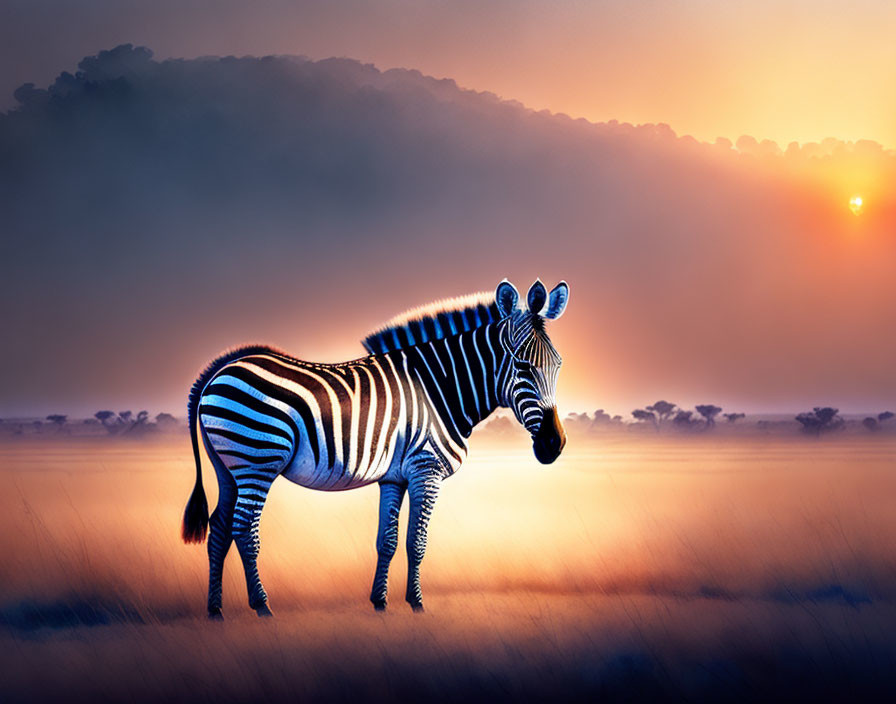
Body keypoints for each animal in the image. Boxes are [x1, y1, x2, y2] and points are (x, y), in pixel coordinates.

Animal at [181, 278, 568, 620]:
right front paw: (417, 604)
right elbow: (417, 541)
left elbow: (389, 539)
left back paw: (215, 611)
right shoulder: (426, 469)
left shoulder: (394, 477)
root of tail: (221, 369)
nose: (554, 444)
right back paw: (262, 606)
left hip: (228, 468)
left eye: (558, 365)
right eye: (521, 366)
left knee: (219, 529)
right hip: (257, 461)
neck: (439, 389)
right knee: (243, 530)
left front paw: (380, 602)